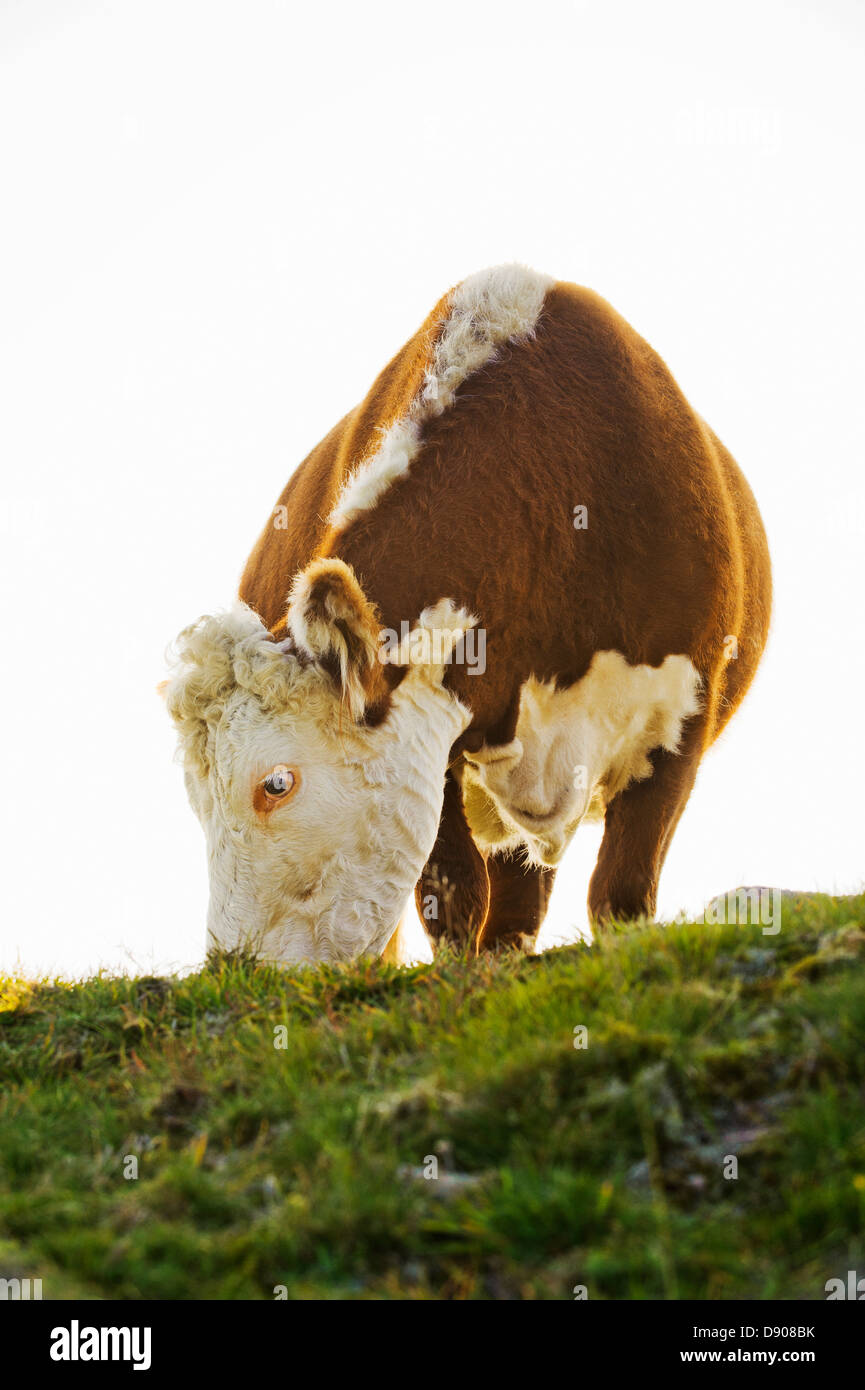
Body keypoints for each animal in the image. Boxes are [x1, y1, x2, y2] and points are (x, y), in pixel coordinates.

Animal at [164, 265, 771, 965]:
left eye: (277, 784)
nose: (231, 966)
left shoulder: (683, 715)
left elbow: (621, 890)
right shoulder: (435, 739)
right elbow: (453, 890)